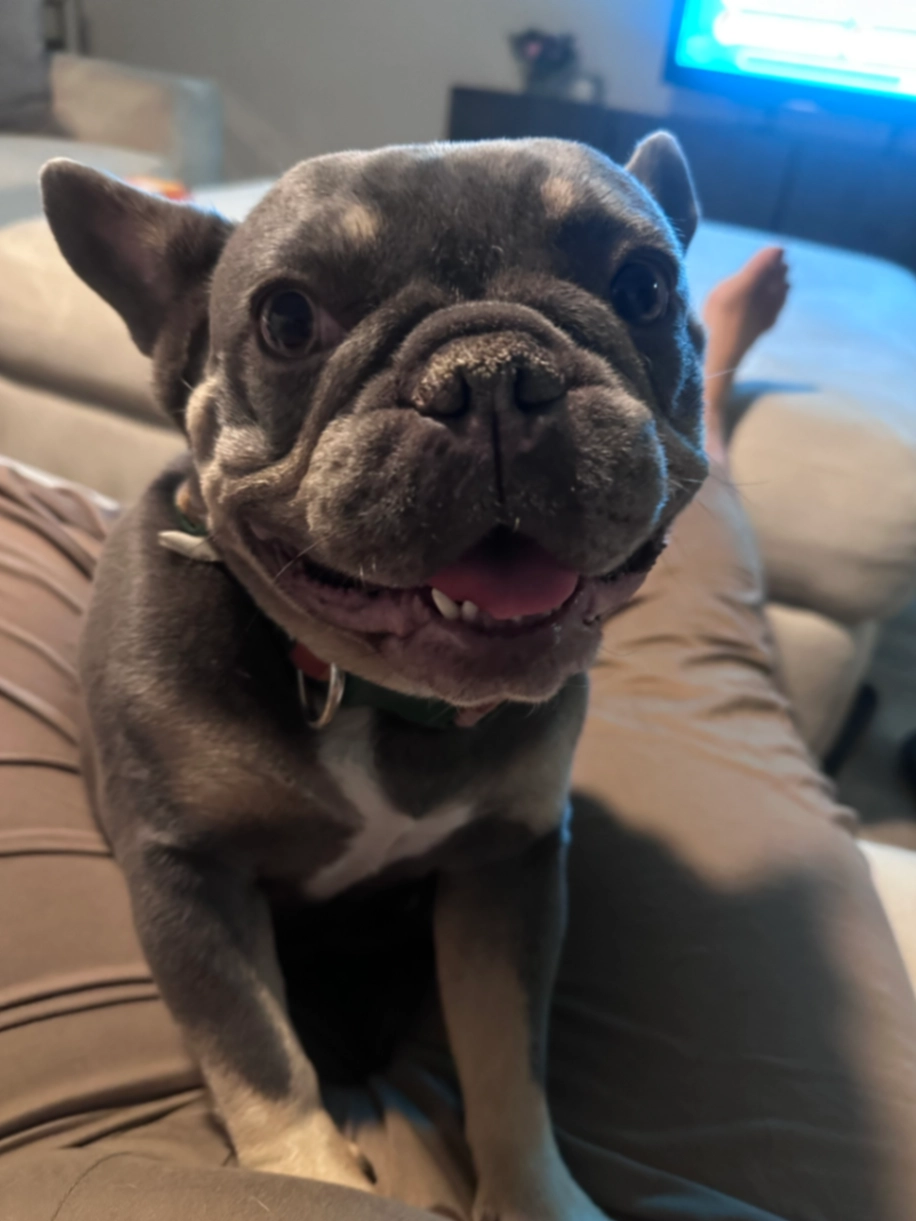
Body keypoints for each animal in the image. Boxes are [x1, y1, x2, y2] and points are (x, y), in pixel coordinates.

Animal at [41, 133, 706, 1221]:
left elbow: (505, 1056)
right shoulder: (189, 876)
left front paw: (537, 1196)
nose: (491, 374)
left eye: (644, 286)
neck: (364, 692)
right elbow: (258, 1057)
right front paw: (308, 1178)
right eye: (286, 319)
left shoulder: (506, 871)